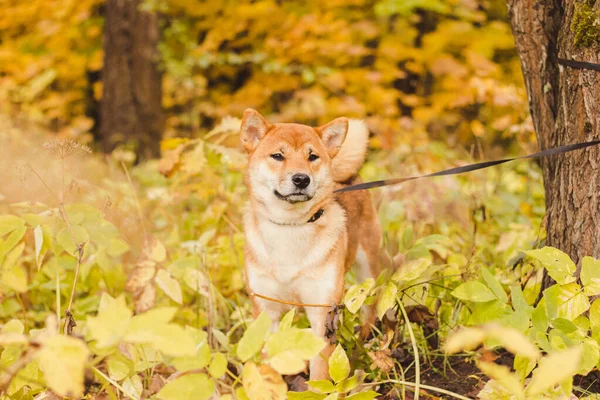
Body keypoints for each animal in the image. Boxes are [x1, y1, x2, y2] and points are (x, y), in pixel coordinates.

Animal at [239, 109, 380, 382]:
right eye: (278, 156)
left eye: (312, 156)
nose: (301, 179)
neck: (290, 227)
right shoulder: (266, 310)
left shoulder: (321, 313)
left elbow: (320, 371)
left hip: (368, 268)